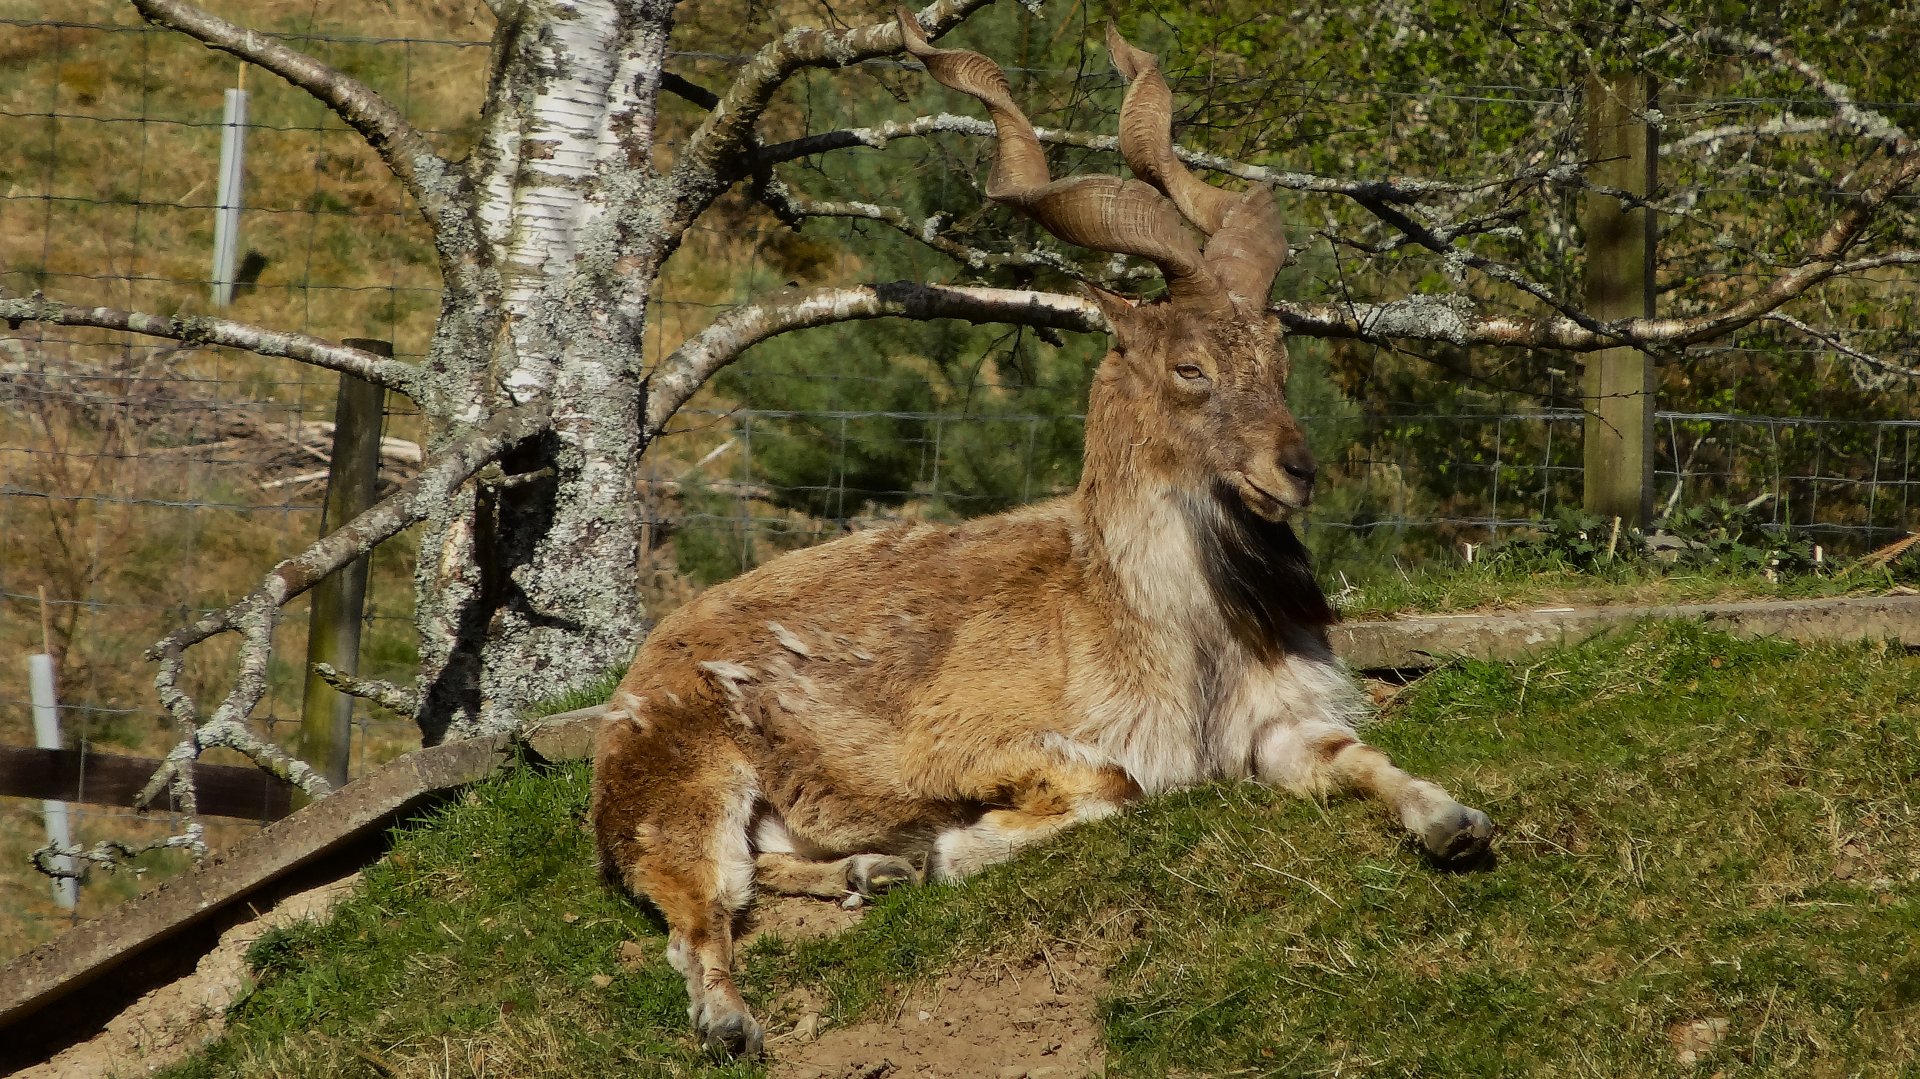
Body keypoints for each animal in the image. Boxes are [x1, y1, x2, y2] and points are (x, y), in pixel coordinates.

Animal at [592, 16, 1494, 1057]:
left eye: (1279, 353)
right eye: (1189, 367)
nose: (1296, 470)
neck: (1158, 630)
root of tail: (637, 679)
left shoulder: (1274, 727)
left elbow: (1359, 758)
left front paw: (1457, 821)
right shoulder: (961, 741)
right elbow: (1114, 782)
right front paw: (958, 845)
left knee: (760, 872)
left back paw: (871, 872)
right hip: (686, 786)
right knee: (696, 912)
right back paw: (734, 1017)